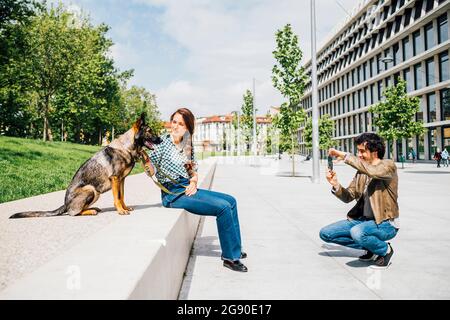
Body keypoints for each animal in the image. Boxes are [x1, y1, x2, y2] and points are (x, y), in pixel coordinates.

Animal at [9, 114, 162, 219]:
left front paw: (124, 208)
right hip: (91, 189)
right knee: (73, 213)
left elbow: (122, 196)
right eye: (149, 131)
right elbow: (117, 198)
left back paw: (93, 208)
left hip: (95, 192)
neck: (126, 147)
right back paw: (91, 211)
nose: (161, 139)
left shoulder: (121, 180)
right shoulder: (115, 179)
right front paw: (120, 210)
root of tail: (65, 204)